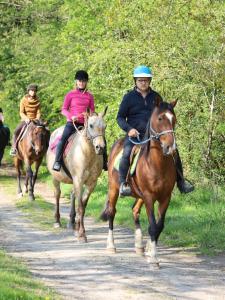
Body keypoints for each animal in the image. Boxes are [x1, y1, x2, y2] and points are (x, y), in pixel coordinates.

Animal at [101, 99, 177, 266]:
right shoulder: (149, 197)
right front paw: (154, 259)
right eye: (160, 118)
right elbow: (153, 225)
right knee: (111, 212)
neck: (157, 164)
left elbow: (159, 226)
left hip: (139, 195)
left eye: (174, 119)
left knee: (135, 210)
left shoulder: (165, 197)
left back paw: (139, 246)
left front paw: (149, 250)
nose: (170, 147)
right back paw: (111, 246)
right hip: (114, 189)